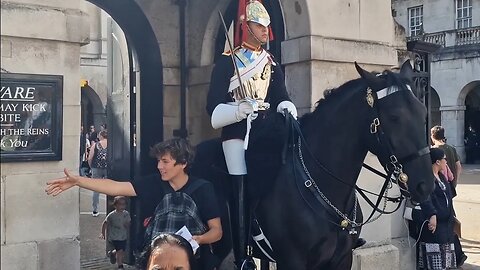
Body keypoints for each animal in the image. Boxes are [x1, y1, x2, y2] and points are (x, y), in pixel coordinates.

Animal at [191, 61, 436, 270]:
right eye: (394, 117)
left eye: (423, 112)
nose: (425, 185)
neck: (321, 183)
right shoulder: (292, 260)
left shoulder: (341, 260)